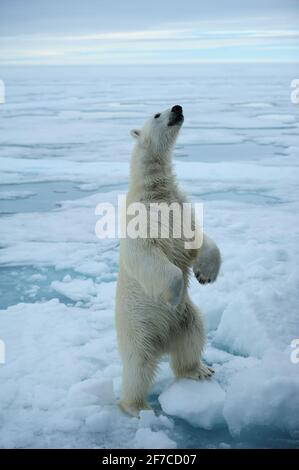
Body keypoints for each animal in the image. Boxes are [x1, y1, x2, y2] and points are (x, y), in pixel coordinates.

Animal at [116, 105, 221, 414]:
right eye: (156, 114)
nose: (177, 107)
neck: (155, 191)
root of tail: (163, 342)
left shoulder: (180, 209)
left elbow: (199, 240)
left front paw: (205, 274)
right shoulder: (142, 220)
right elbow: (149, 255)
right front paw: (172, 295)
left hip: (187, 320)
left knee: (193, 338)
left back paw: (199, 370)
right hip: (138, 329)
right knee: (138, 367)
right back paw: (135, 407)